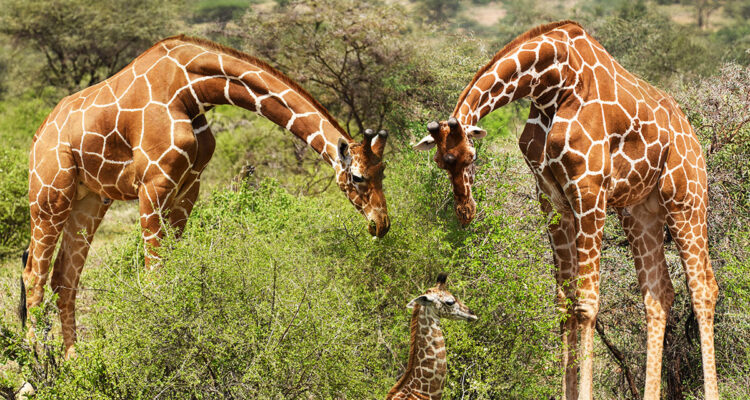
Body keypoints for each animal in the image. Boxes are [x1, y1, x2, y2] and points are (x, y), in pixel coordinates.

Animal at [21, 35, 390, 359]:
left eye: (383, 171)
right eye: (357, 177)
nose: (381, 224)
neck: (190, 90)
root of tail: (38, 135)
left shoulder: (189, 185)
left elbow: (173, 271)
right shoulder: (153, 183)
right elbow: (154, 277)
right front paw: (156, 350)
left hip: (90, 199)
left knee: (64, 279)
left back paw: (72, 361)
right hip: (50, 195)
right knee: (33, 275)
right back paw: (38, 364)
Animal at [414, 21, 718, 399]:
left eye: (470, 156)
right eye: (441, 162)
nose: (465, 211)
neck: (550, 84)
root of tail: (693, 135)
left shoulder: (589, 189)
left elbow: (586, 302)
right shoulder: (551, 197)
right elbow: (564, 302)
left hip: (687, 200)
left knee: (704, 288)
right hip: (640, 212)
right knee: (658, 293)